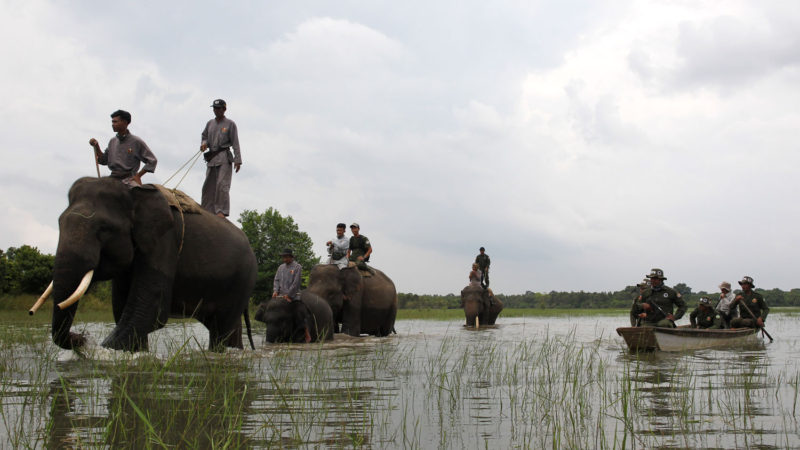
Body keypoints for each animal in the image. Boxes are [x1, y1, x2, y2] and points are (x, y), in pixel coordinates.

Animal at [30, 178, 256, 352]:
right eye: (59, 223)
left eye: (104, 229)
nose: (81, 337)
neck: (134, 194)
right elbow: (122, 309)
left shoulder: (164, 240)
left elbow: (148, 309)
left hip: (242, 278)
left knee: (221, 328)